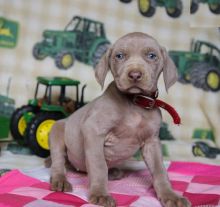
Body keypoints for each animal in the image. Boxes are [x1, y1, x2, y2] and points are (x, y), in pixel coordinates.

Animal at [49, 32, 191, 207]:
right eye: (119, 56)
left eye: (152, 56)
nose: (135, 75)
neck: (135, 103)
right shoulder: (93, 131)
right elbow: (98, 166)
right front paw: (100, 194)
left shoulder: (151, 142)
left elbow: (160, 171)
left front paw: (170, 195)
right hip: (57, 130)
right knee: (58, 161)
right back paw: (60, 180)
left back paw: (114, 172)